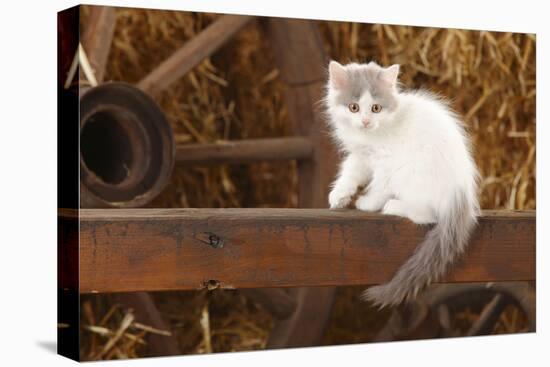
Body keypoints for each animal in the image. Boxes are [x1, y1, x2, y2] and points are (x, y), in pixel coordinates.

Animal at [326, 61, 480, 310]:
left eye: (376, 108)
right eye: (353, 107)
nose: (366, 122)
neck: (373, 134)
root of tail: (461, 197)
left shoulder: (387, 162)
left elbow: (379, 186)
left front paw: (367, 203)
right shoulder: (361, 155)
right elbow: (350, 172)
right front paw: (339, 196)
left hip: (412, 174)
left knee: (427, 215)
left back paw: (393, 206)